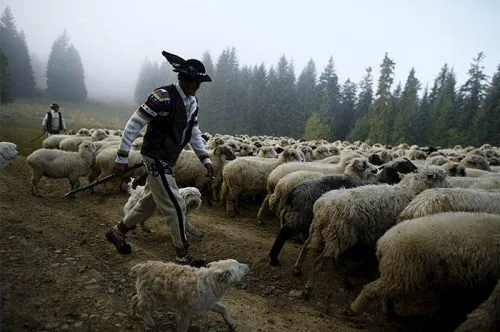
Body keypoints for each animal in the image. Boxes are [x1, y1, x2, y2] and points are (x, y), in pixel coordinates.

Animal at [298, 166, 452, 298]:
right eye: (442, 177)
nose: (450, 187)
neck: (409, 191)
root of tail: (322, 206)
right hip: (339, 233)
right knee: (319, 261)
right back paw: (308, 288)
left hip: (320, 229)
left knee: (307, 245)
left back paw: (298, 267)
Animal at [346, 213, 500, 320]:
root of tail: (383, 242)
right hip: (401, 272)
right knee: (371, 289)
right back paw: (354, 308)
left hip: (396, 273)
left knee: (384, 292)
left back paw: (389, 311)